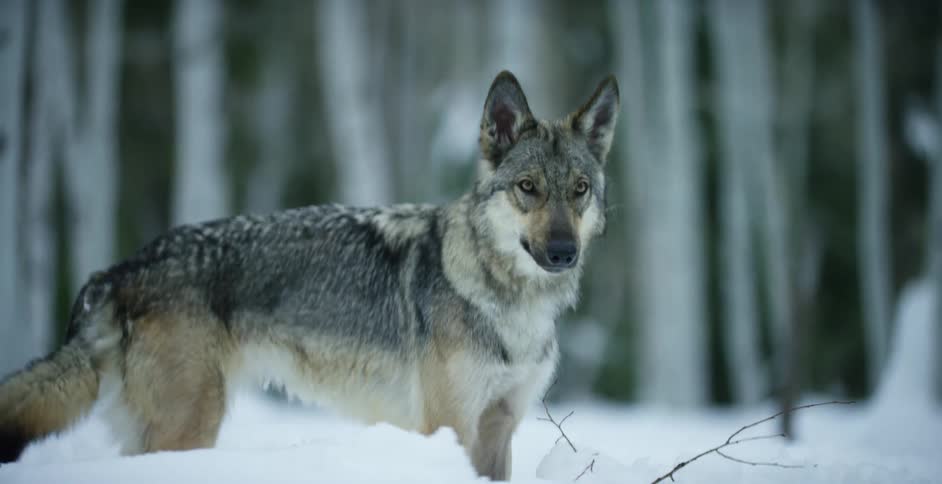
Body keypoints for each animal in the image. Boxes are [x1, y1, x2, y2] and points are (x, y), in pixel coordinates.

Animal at [0, 70, 619, 480]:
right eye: (528, 188)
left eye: (579, 190)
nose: (562, 252)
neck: (511, 303)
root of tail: (123, 266)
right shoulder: (449, 427)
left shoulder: (498, 431)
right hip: (188, 429)